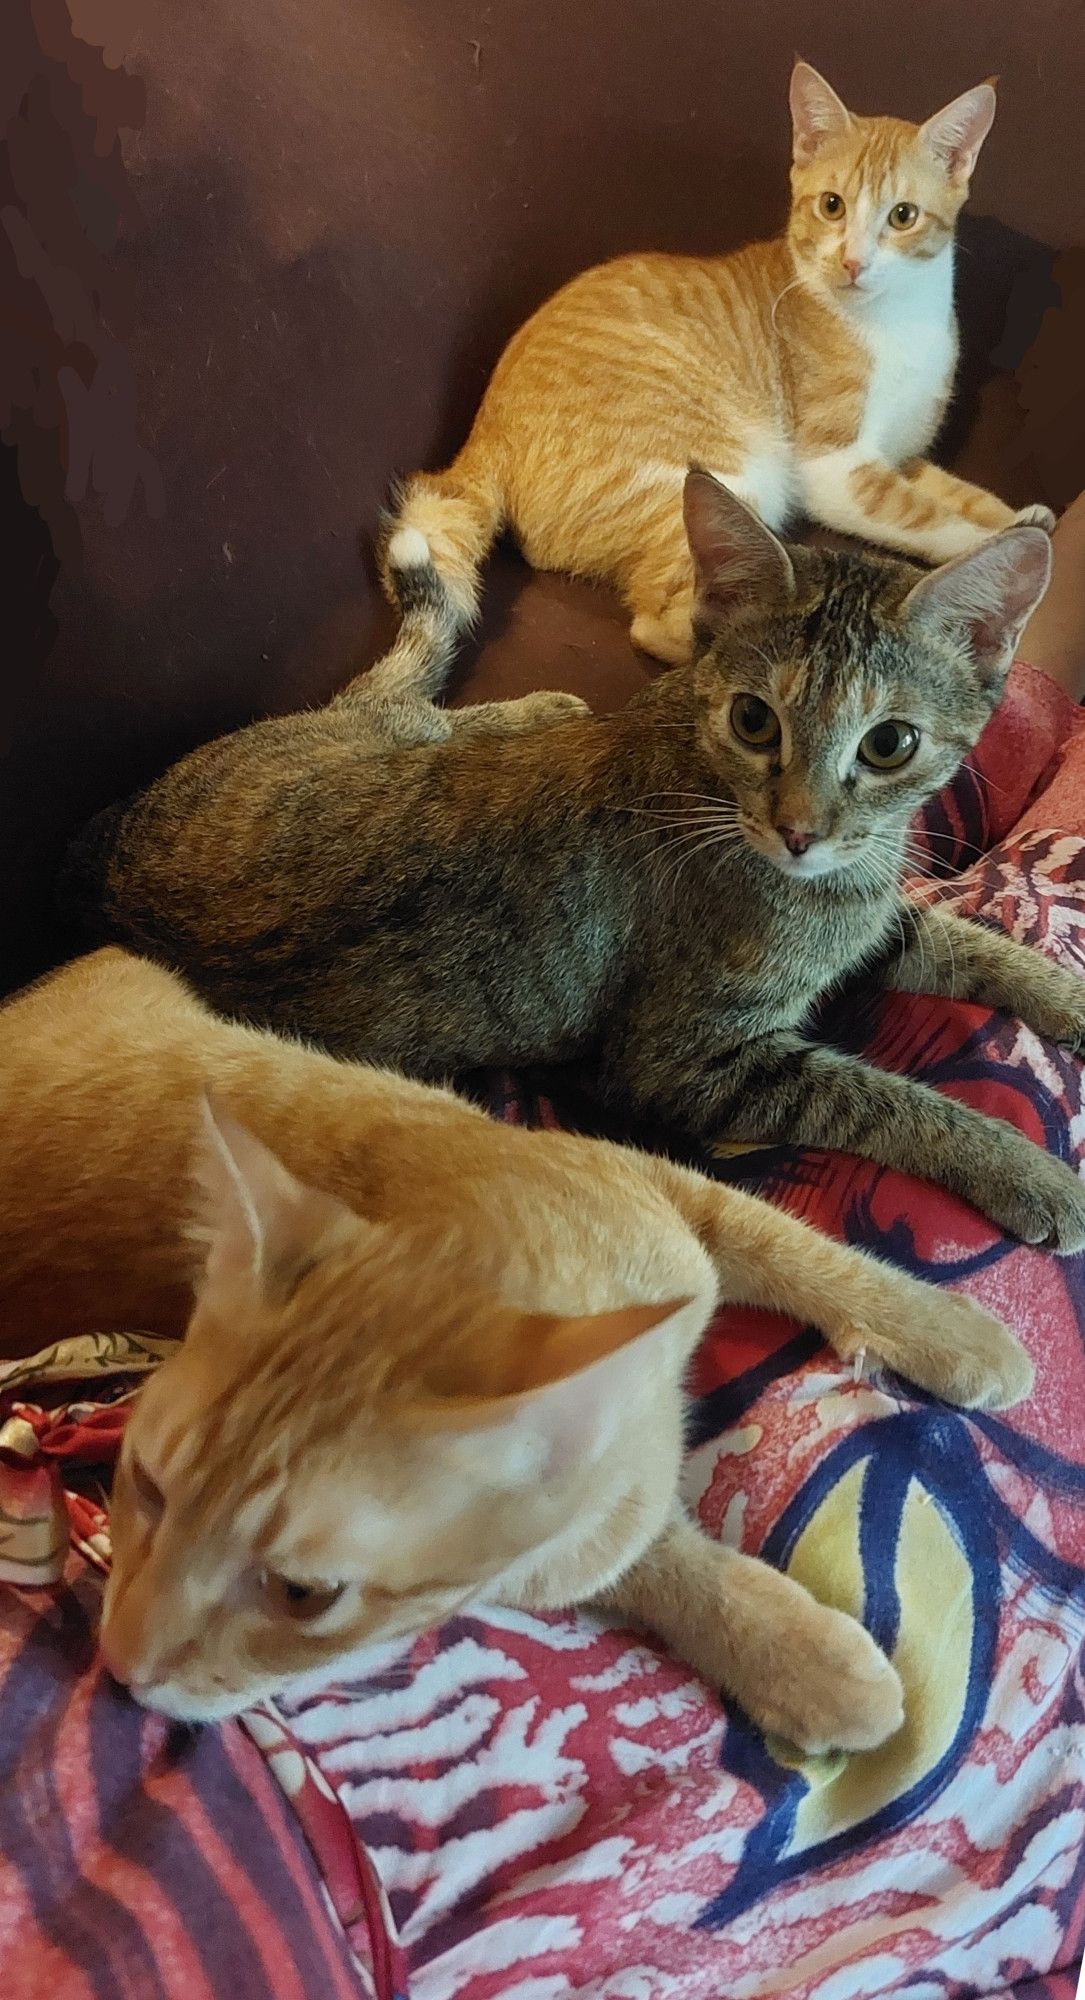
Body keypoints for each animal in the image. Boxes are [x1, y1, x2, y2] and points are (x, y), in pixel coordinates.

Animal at [0, 952, 1040, 1752]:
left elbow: (798, 1246)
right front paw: (799, 1658)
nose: (120, 1666)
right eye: (145, 1486)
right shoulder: (583, 1537)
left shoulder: (673, 1199)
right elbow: (649, 1555)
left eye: (300, 1593)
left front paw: (951, 1330)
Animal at [63, 470, 1085, 1248]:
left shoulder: (872, 921)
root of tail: (113, 832)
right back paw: (539, 709)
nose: (798, 830)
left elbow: (974, 946)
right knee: (411, 708)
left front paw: (1065, 999)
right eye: (755, 721)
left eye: (888, 744)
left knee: (416, 709)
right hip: (369, 743)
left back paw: (536, 711)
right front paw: (1030, 1176)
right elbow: (887, 1101)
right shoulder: (688, 1062)